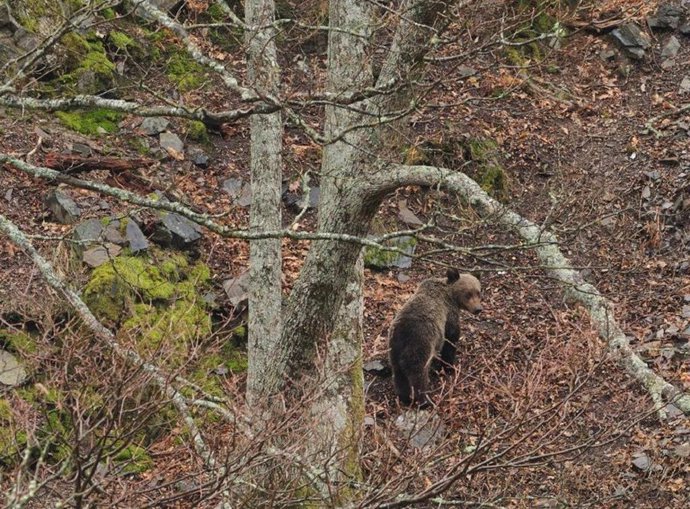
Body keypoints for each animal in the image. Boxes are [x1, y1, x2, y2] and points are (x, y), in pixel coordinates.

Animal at [388, 268, 482, 406]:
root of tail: (403, 331)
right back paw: (425, 400)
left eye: (478, 292)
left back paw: (404, 397)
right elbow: (450, 339)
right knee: (418, 373)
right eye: (468, 294)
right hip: (421, 342)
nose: (478, 309)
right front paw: (449, 366)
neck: (450, 296)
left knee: (398, 373)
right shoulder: (448, 315)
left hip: (394, 347)